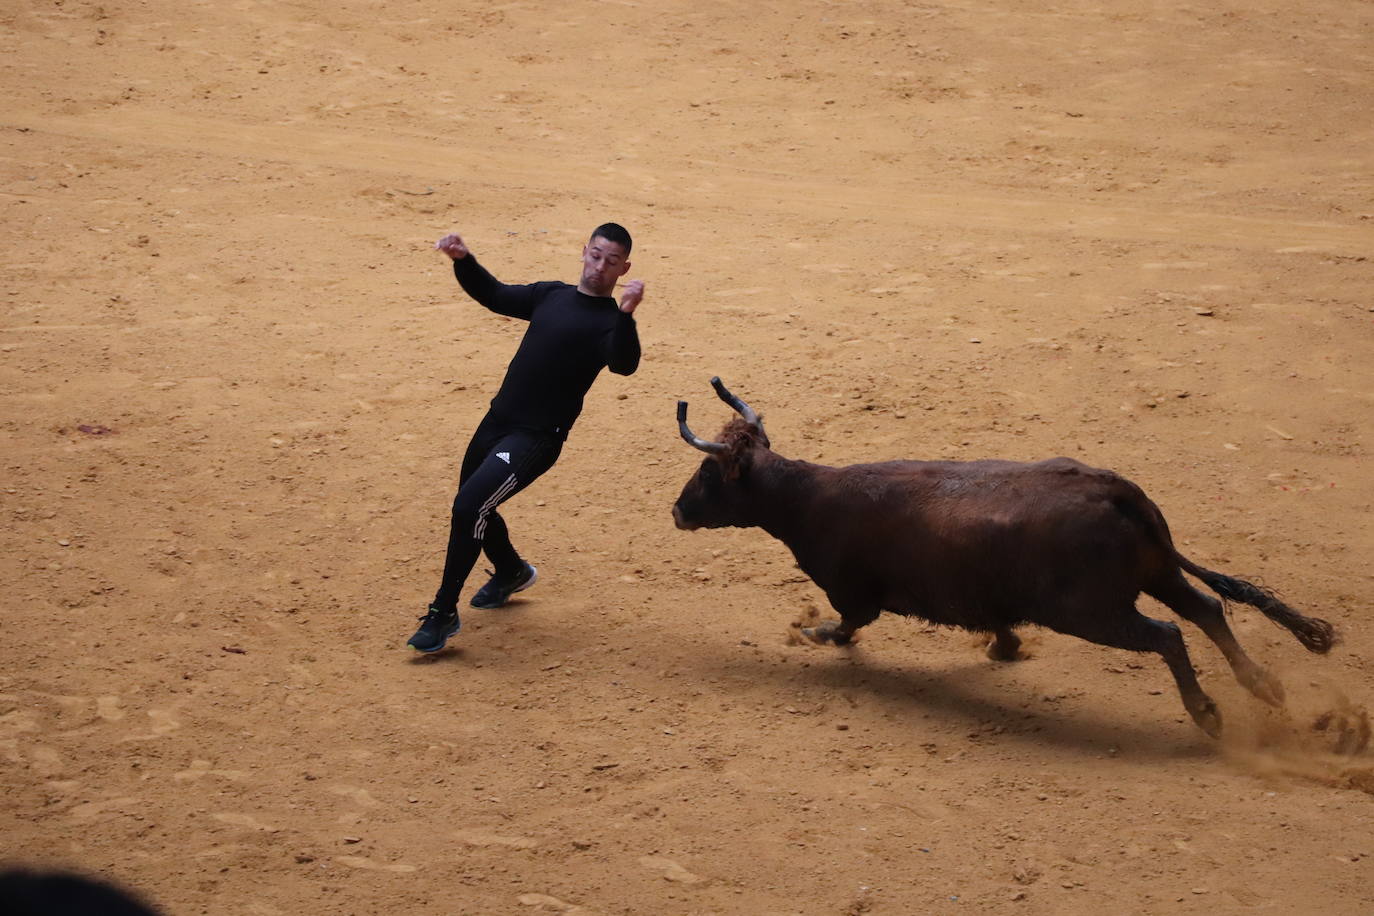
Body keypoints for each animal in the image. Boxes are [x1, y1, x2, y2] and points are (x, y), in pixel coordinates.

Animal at [670, 376, 1335, 741]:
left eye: (706, 473)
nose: (676, 511)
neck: (805, 496)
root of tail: (1114, 489)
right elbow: (995, 622)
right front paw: (1004, 648)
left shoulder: (853, 594)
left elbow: (845, 626)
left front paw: (808, 633)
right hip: (1159, 572)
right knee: (1207, 608)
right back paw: (1264, 685)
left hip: (1094, 612)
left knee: (1170, 634)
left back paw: (1208, 714)